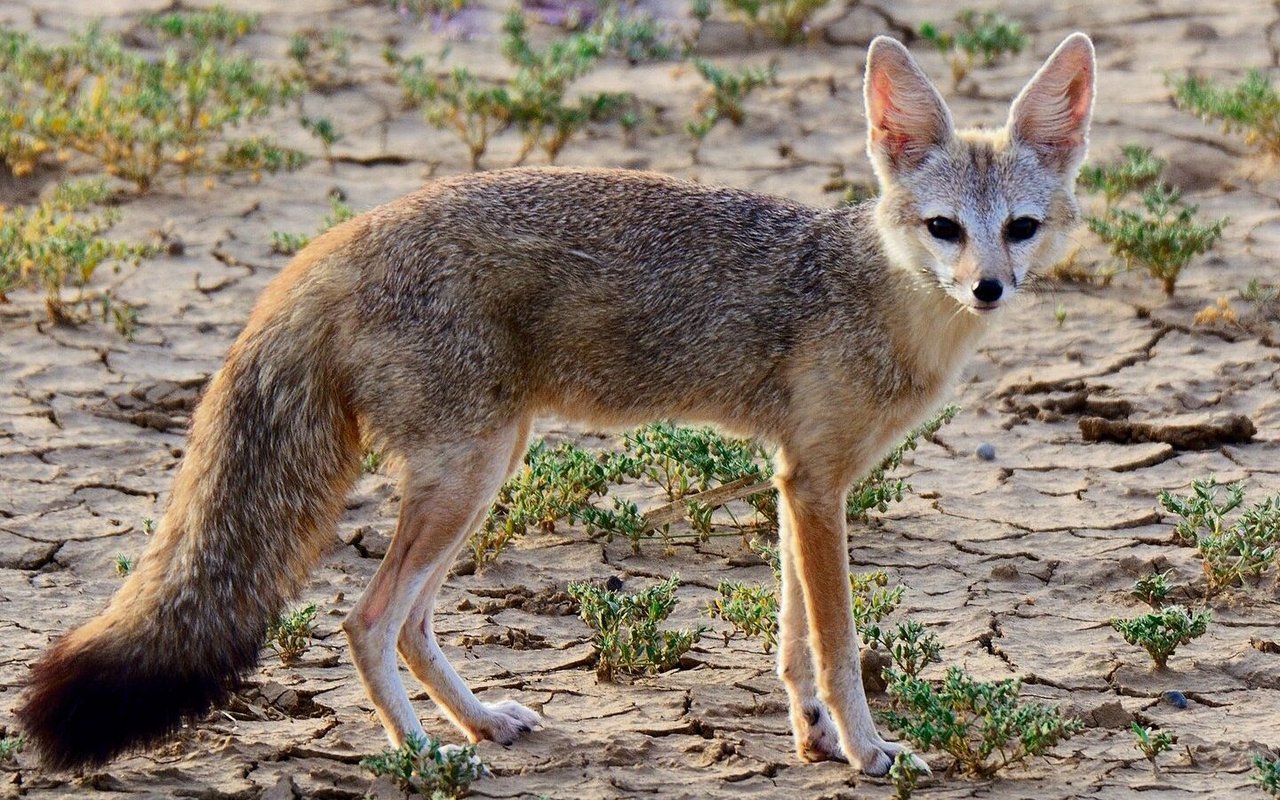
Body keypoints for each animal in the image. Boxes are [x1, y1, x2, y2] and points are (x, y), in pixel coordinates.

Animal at [17, 32, 1090, 773]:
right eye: (945, 228)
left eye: (1019, 228)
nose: (989, 288)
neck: (873, 293)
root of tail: (341, 237)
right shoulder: (814, 486)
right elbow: (836, 646)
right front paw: (868, 752)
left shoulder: (798, 483)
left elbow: (793, 644)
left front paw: (815, 740)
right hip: (470, 473)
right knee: (366, 619)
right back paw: (424, 756)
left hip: (485, 468)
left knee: (409, 623)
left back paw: (481, 722)